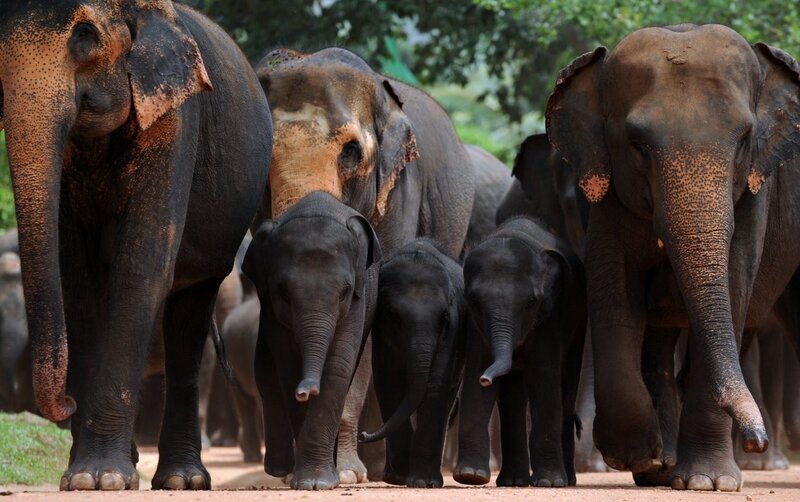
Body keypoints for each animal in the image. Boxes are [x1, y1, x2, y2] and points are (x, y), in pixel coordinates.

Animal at [0, 0, 271, 491]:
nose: (66, 404)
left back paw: (183, 481)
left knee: (189, 319)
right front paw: (84, 477)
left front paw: (101, 478)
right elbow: (77, 276)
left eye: (85, 36)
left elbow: (143, 262)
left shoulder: (175, 117)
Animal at [241, 191, 381, 491]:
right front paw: (306, 481)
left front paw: (318, 483)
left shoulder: (358, 300)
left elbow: (338, 366)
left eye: (344, 292)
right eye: (283, 292)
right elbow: (288, 367)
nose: (306, 391)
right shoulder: (271, 308)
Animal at [360, 238, 467, 488]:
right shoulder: (382, 332)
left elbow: (436, 385)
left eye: (444, 317)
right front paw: (401, 476)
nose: (362, 435)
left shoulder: (452, 329)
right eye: (394, 316)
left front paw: (424, 482)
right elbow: (388, 382)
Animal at [456, 216, 586, 487]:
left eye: (531, 302)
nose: (486, 379)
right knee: (513, 396)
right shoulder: (475, 324)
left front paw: (548, 483)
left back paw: (566, 480)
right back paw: (513, 481)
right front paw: (470, 476)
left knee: (567, 385)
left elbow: (542, 376)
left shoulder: (550, 314)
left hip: (579, 322)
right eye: (473, 301)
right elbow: (476, 368)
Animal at [546, 24, 800, 491]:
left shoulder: (755, 194)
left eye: (744, 141)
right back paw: (658, 468)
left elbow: (733, 288)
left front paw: (706, 482)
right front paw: (636, 455)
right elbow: (615, 293)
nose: (756, 440)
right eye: (636, 145)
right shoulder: (608, 196)